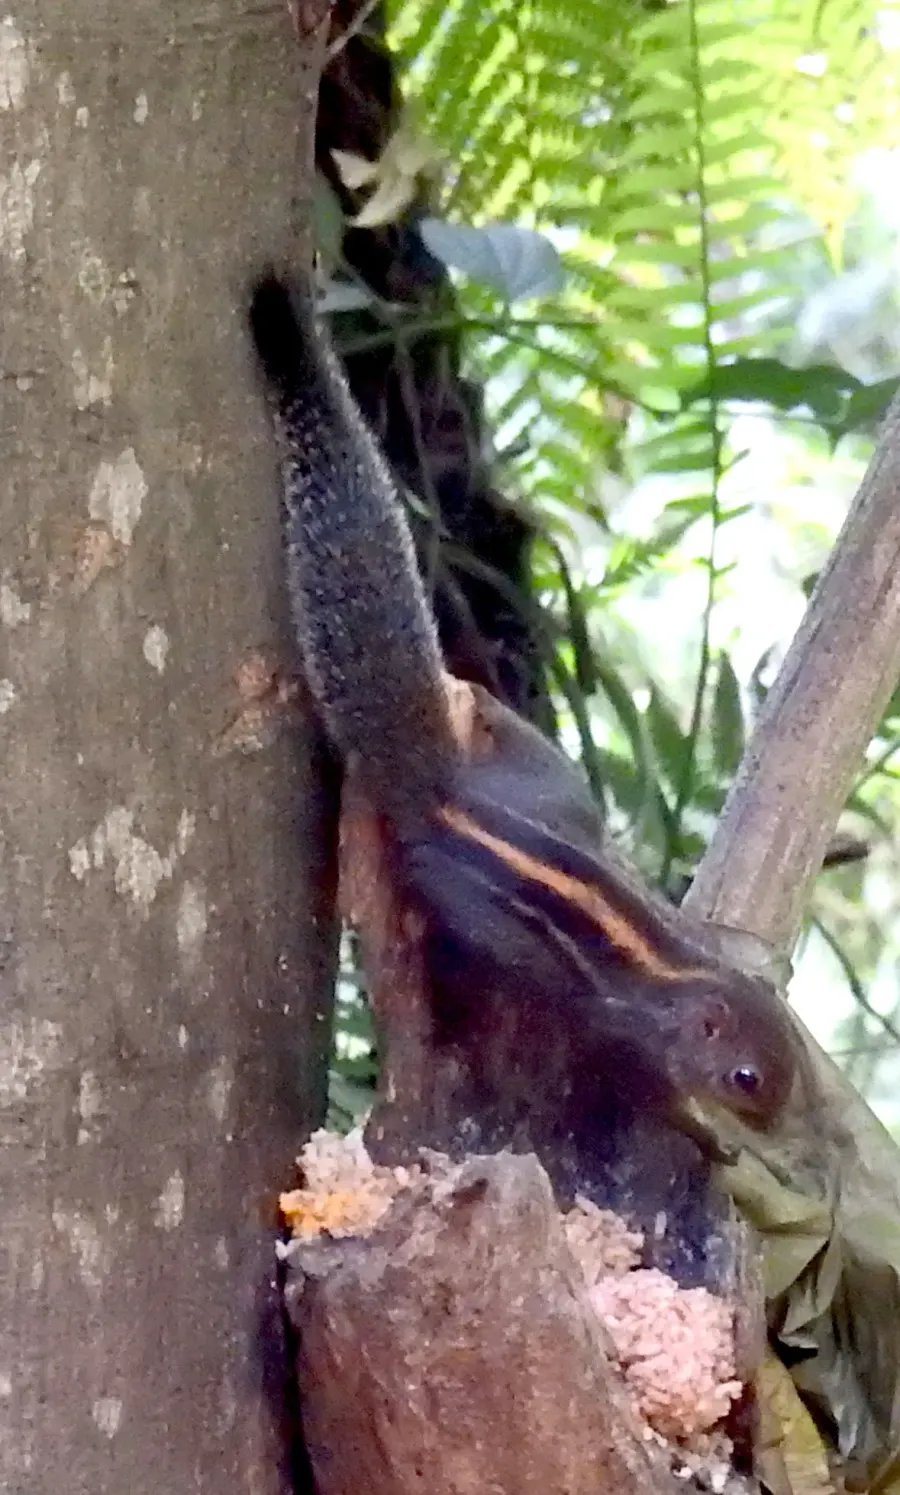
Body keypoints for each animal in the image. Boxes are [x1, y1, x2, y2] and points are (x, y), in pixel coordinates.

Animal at [248, 270, 804, 1159]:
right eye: (747, 1076)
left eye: (790, 1064)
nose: (771, 1123)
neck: (677, 973)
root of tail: (445, 784)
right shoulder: (621, 1029)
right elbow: (640, 1082)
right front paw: (705, 1132)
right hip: (469, 913)